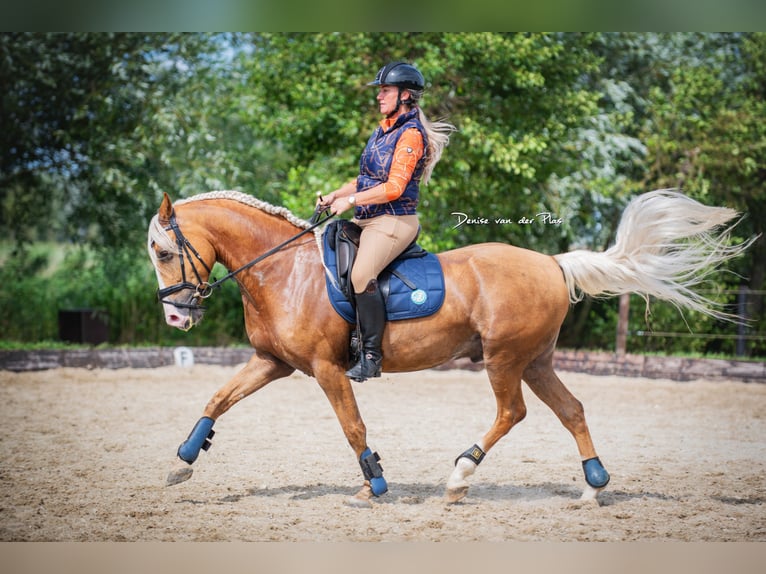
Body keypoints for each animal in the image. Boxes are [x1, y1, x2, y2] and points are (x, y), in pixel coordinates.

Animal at [148, 190, 752, 508]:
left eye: (162, 251)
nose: (176, 316)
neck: (282, 269)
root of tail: (552, 263)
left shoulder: (325, 368)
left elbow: (353, 426)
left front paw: (375, 483)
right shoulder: (272, 363)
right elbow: (218, 399)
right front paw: (181, 461)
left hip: (504, 359)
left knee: (513, 412)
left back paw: (460, 476)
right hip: (535, 361)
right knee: (572, 410)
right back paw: (592, 485)